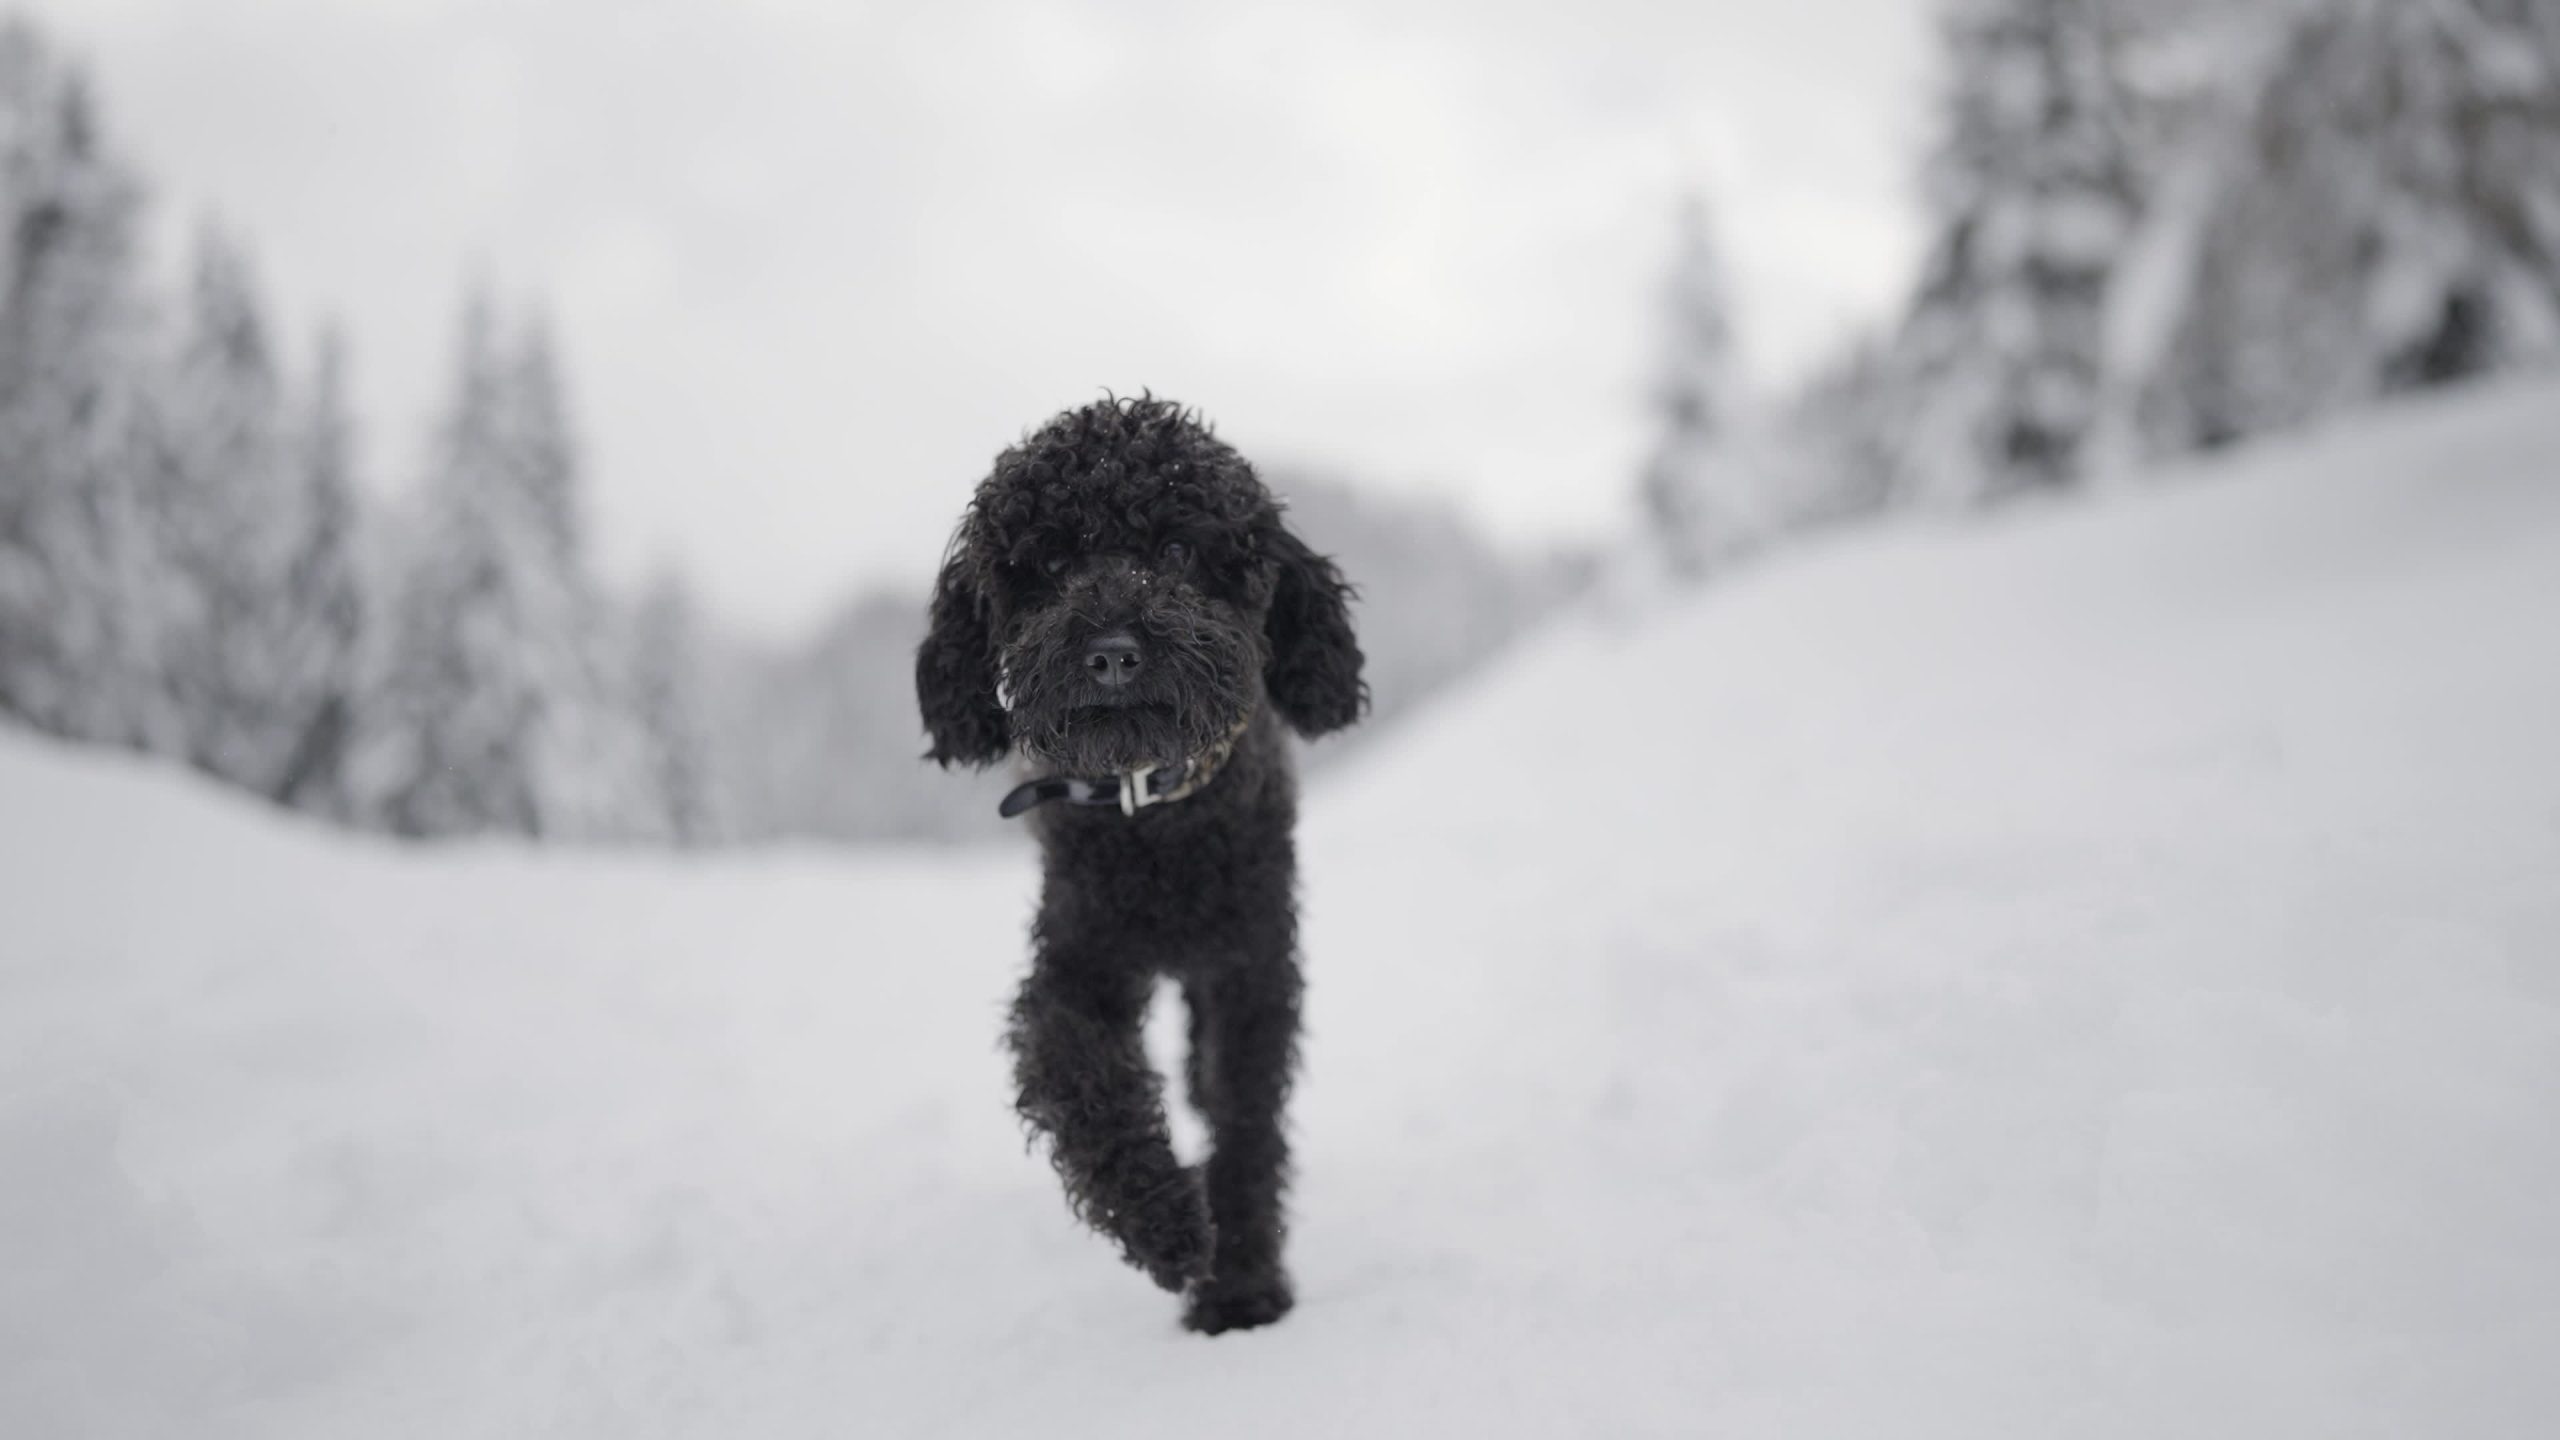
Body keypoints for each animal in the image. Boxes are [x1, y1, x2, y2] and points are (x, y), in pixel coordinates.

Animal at [916, 394, 1372, 1332]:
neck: (1157, 821)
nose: (1114, 652)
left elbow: (1245, 1125)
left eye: (1176, 550)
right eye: (1051, 561)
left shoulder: (1249, 966)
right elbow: (1078, 1073)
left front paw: (1240, 1289)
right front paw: (1164, 1224)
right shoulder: (1078, 959)